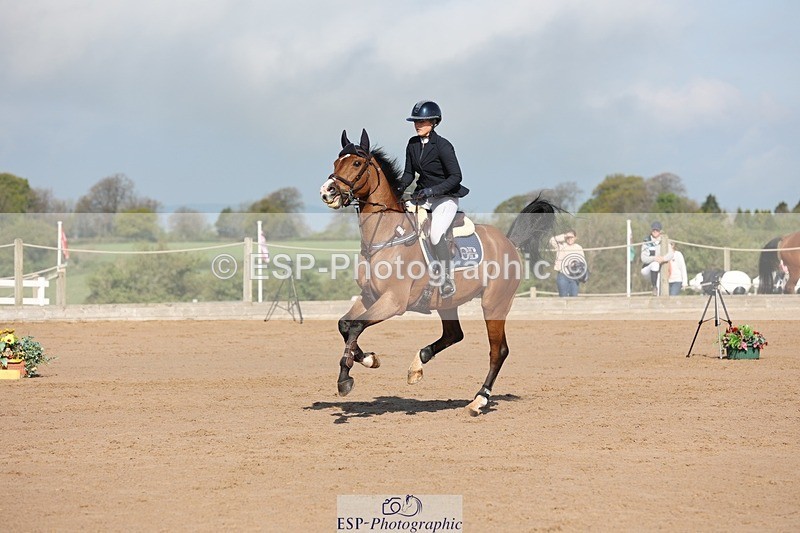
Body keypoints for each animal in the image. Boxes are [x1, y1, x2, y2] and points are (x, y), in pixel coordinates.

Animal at [319, 129, 559, 416]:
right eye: (336, 162)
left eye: (356, 163)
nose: (327, 191)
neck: (386, 236)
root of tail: (509, 242)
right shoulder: (369, 297)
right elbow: (345, 325)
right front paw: (367, 359)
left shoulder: (393, 302)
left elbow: (356, 326)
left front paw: (346, 378)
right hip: (448, 303)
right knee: (455, 334)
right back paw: (417, 366)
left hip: (494, 304)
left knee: (498, 351)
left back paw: (479, 399)